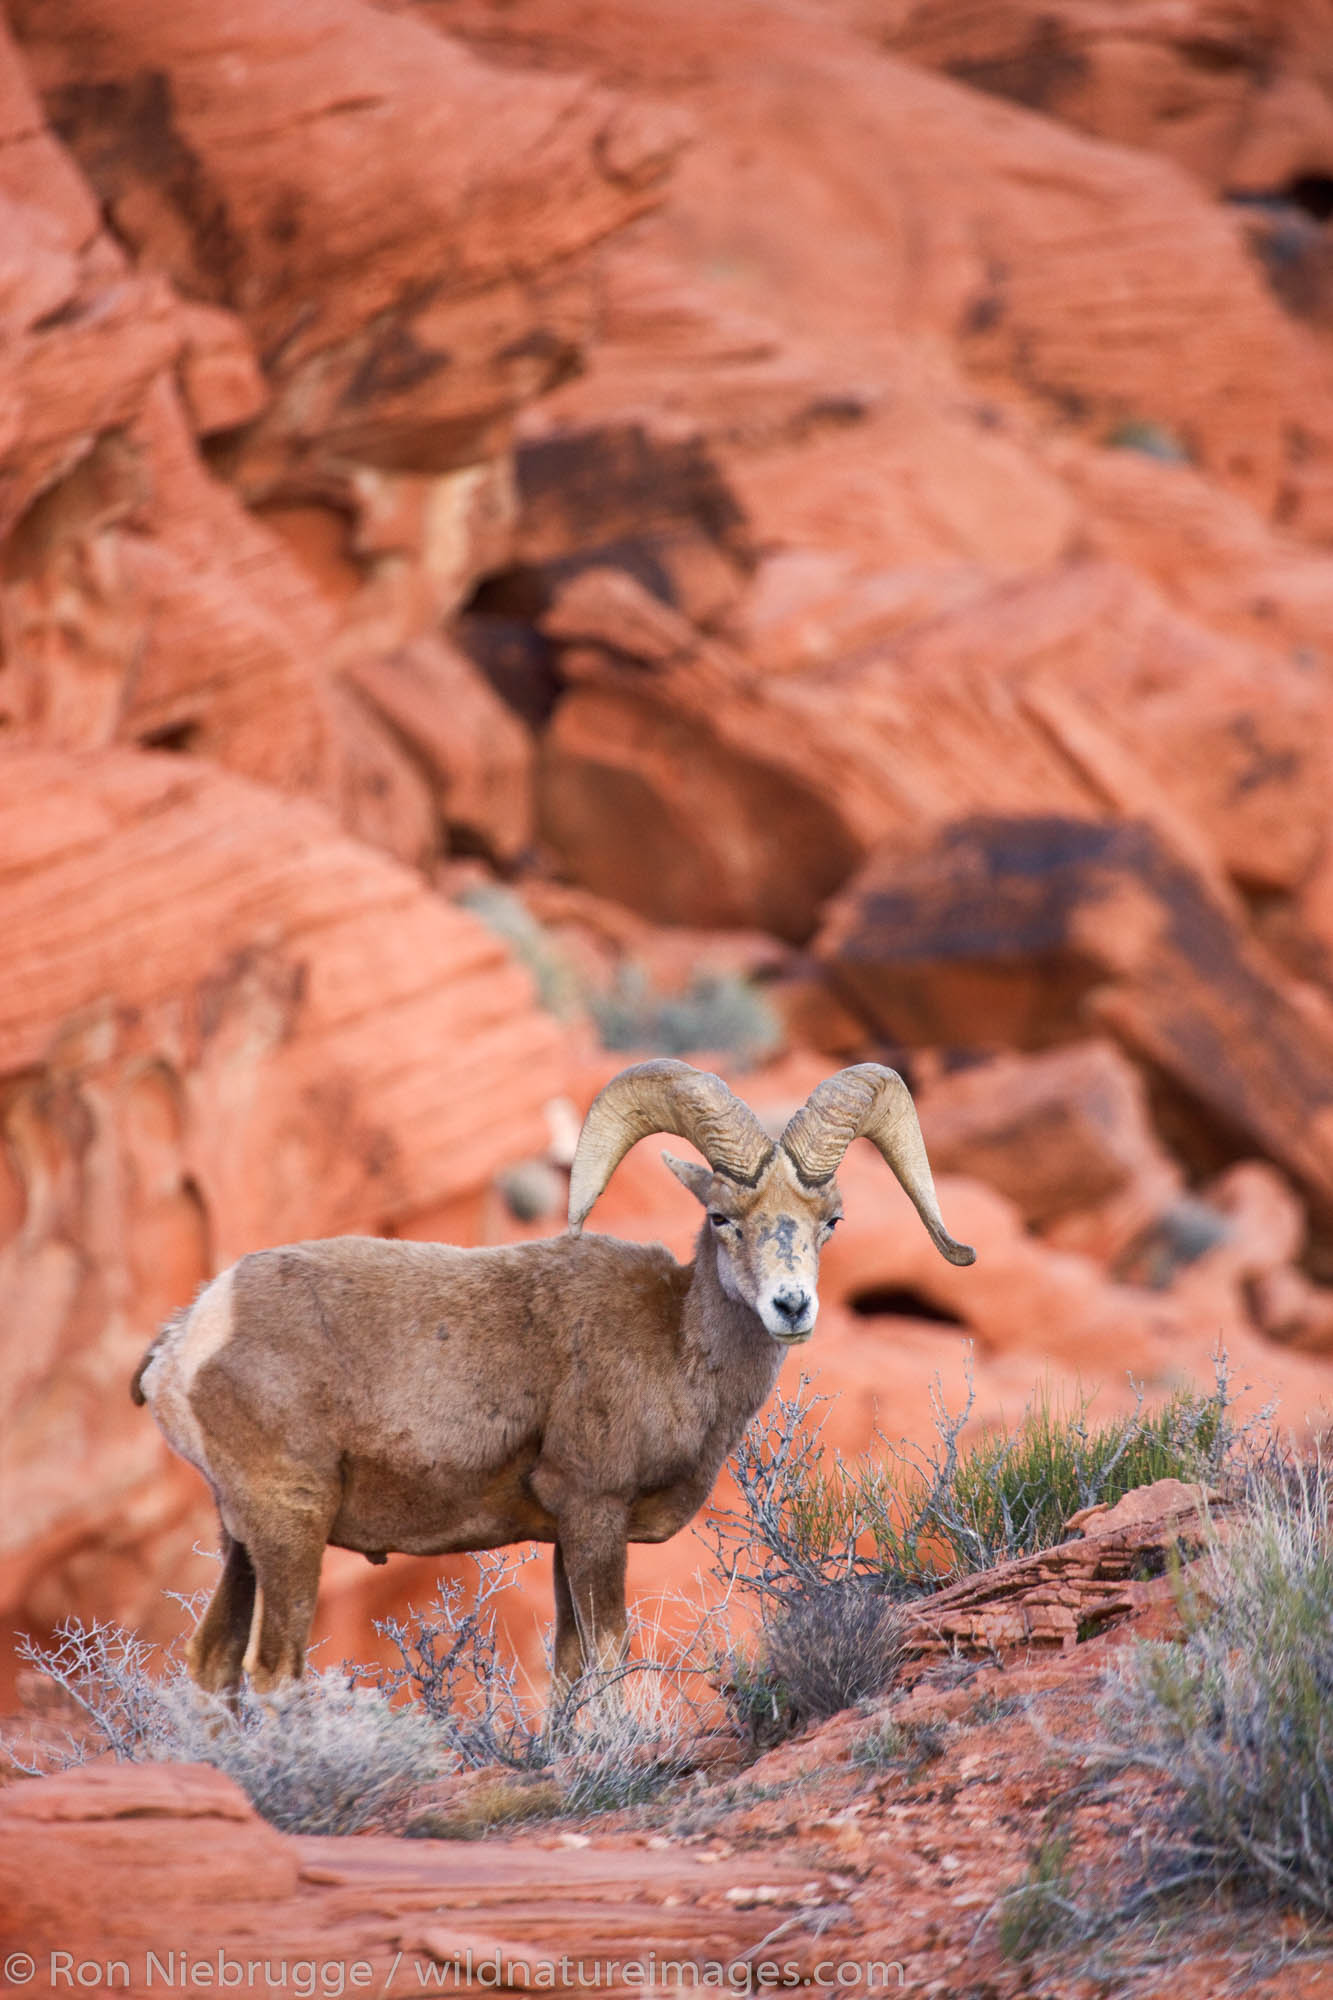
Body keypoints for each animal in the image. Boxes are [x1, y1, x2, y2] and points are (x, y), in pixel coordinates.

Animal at [132, 1056, 964, 1696]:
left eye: (830, 1221)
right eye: (724, 1217)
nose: (790, 1306)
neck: (675, 1344)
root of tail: (188, 1337)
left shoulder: (567, 1535)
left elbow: (567, 1668)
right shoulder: (594, 1514)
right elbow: (604, 1659)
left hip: (241, 1538)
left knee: (212, 1665)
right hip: (289, 1525)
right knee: (274, 1672)